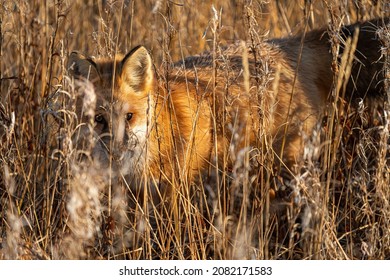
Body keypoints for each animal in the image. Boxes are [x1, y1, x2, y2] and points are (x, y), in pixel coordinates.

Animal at [67, 18, 386, 190]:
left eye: (130, 116)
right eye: (98, 120)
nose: (115, 152)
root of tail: (287, 45)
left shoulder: (176, 190)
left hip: (288, 161)